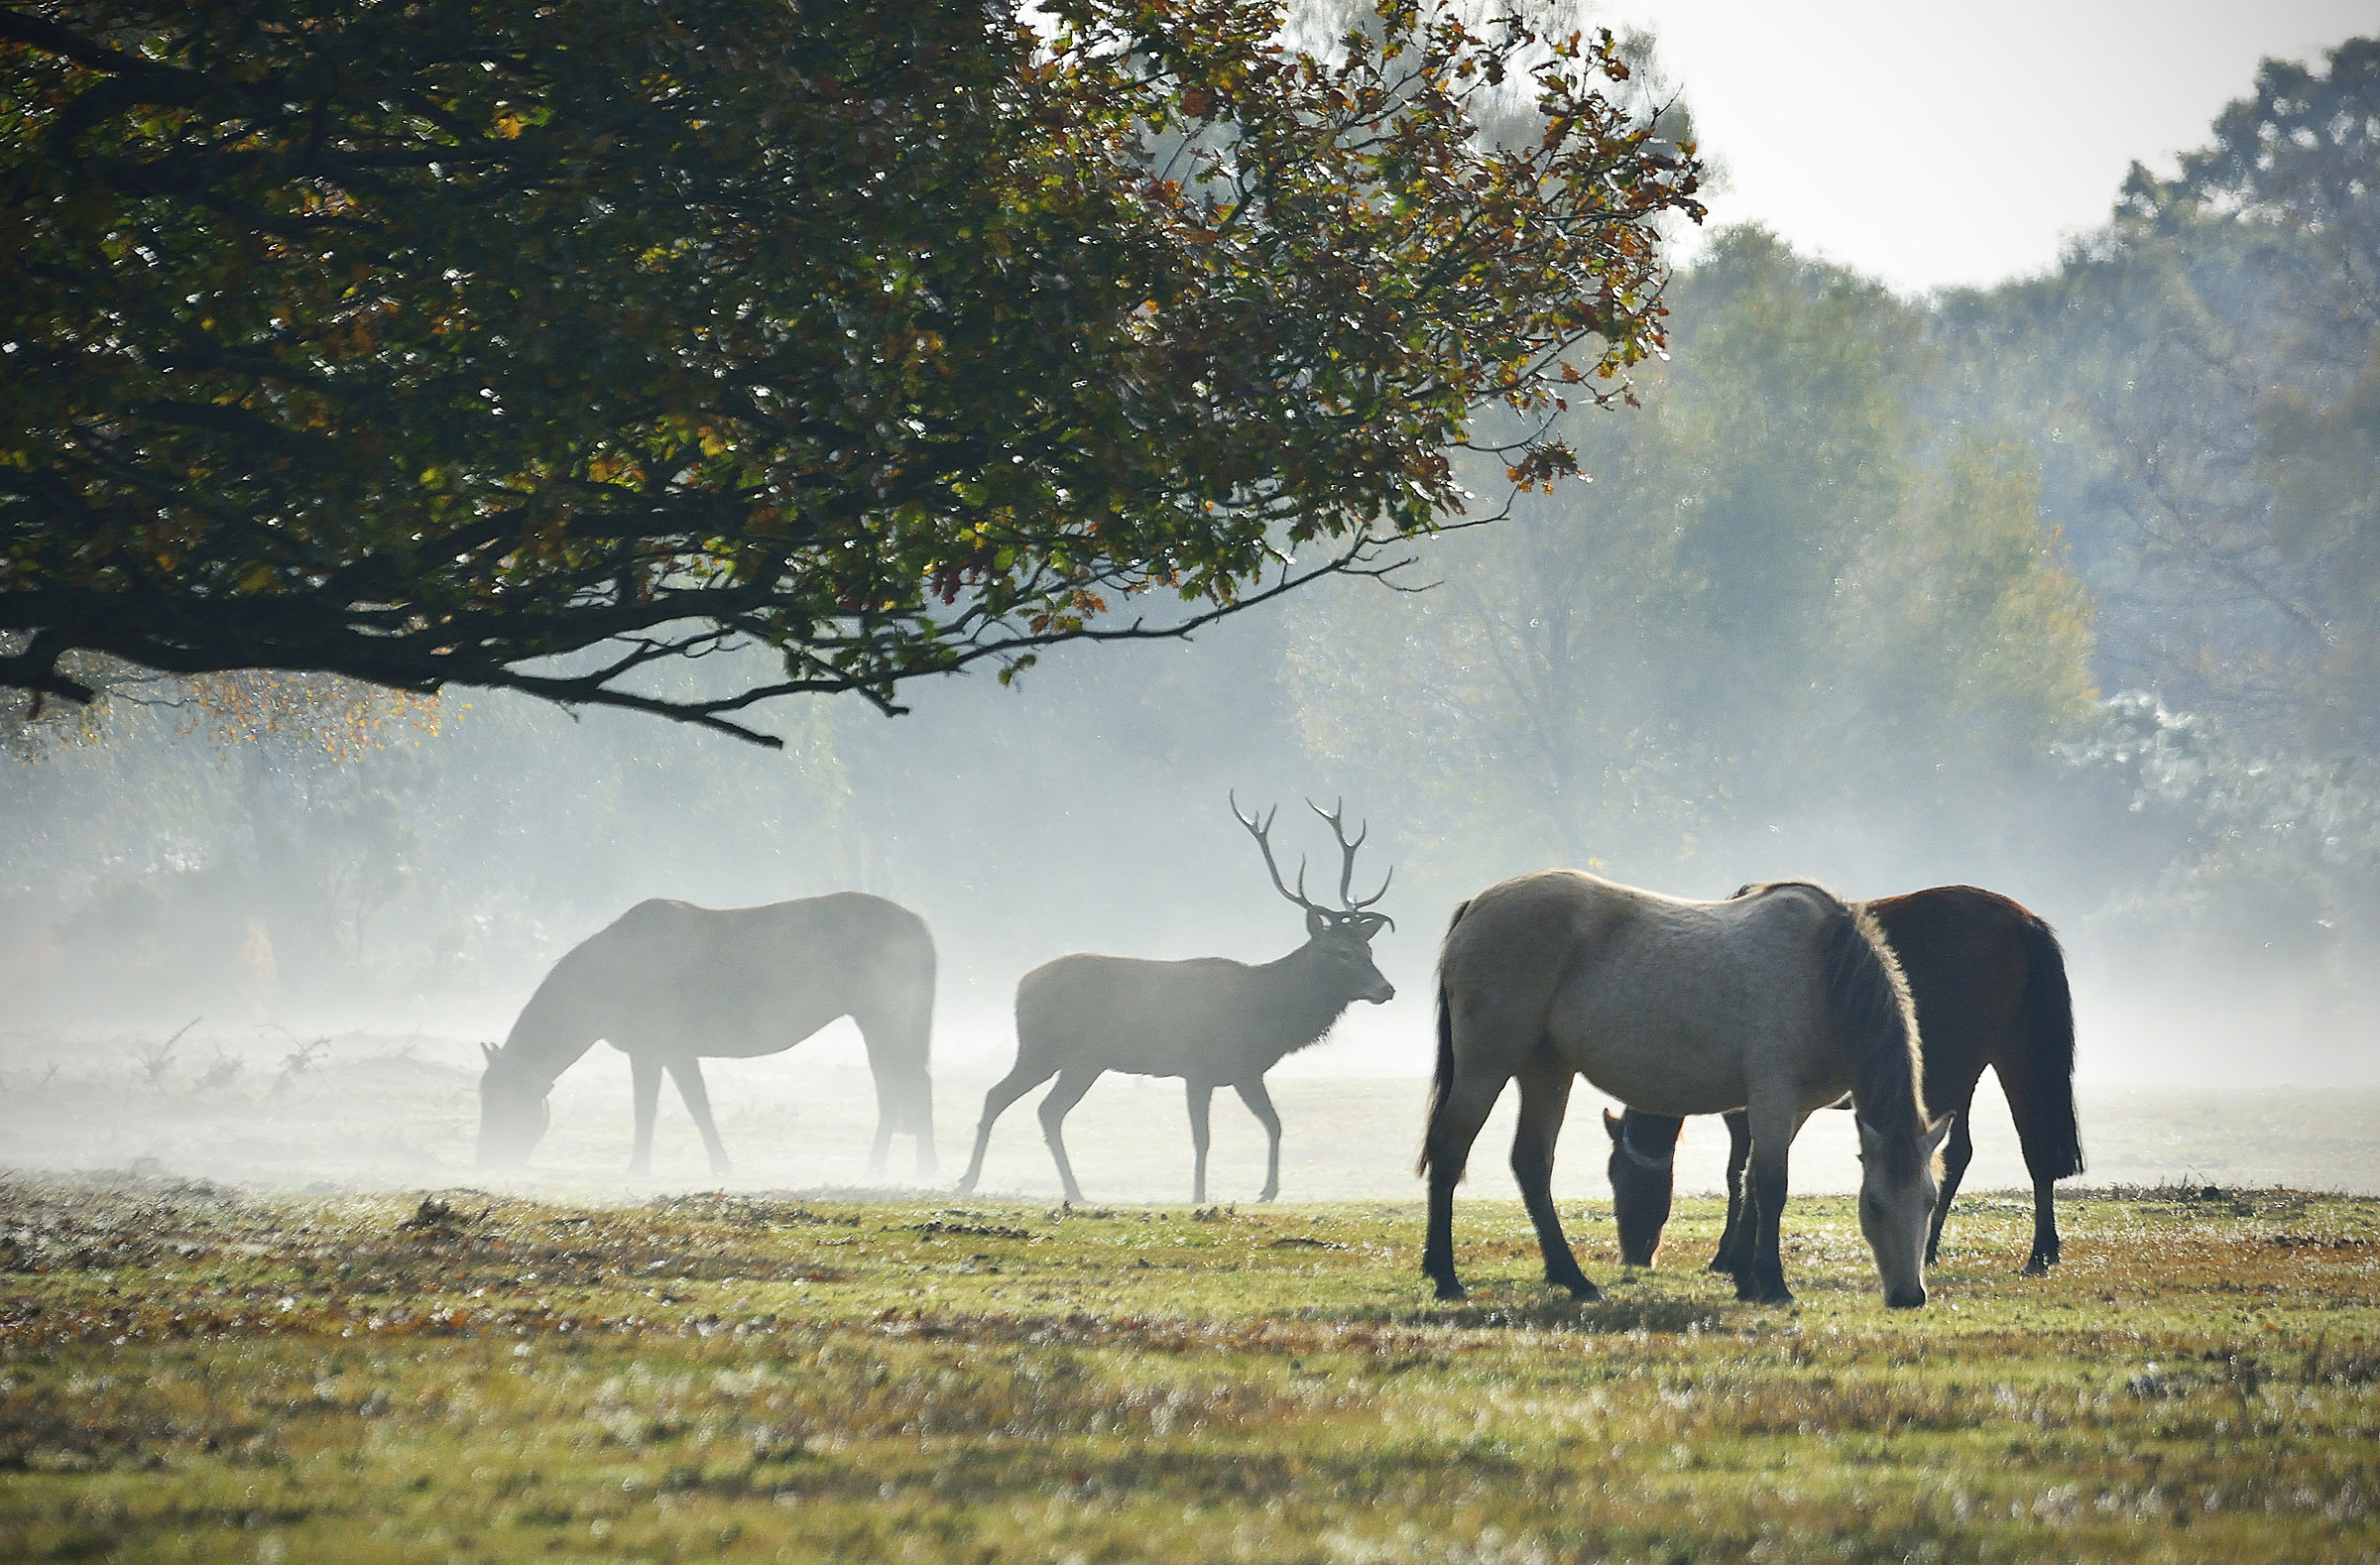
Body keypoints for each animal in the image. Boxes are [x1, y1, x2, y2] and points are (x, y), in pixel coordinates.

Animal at [956, 796, 1396, 1205]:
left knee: (1024, 1103)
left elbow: (1274, 1123)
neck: (1267, 1014)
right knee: (1023, 1103)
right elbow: (1203, 1137)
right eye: (1341, 952)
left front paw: (1267, 1192)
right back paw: (997, 1183)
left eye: (1368, 950)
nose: (1386, 990)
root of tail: (1020, 985)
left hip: (1074, 1059)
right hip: (1050, 1050)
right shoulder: (1199, 1068)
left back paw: (1029, 1187)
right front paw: (1199, 1196)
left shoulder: (1246, 1070)